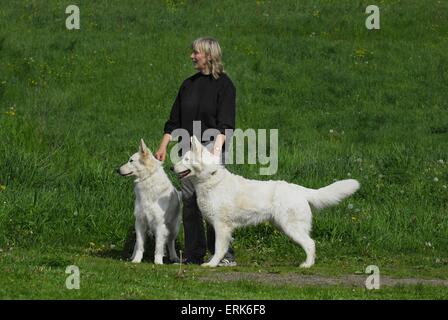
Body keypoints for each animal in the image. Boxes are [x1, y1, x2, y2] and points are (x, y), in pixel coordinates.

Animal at [173, 136, 362, 268]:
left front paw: (211, 264)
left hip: (291, 228)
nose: (170, 167)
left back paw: (307, 265)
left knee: (310, 244)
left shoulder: (221, 226)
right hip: (284, 226)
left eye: (186, 160)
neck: (210, 179)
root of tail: (300, 189)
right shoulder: (217, 225)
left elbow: (219, 248)